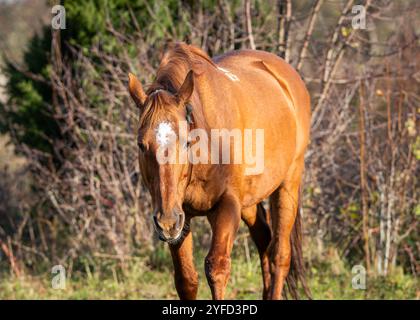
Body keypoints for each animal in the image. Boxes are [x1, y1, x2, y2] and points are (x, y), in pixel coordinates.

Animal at [128, 42, 312, 300]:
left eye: (186, 141)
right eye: (141, 145)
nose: (166, 222)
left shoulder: (227, 206)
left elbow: (217, 268)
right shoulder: (181, 217)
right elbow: (186, 279)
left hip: (288, 186)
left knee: (280, 255)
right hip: (249, 201)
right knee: (264, 241)